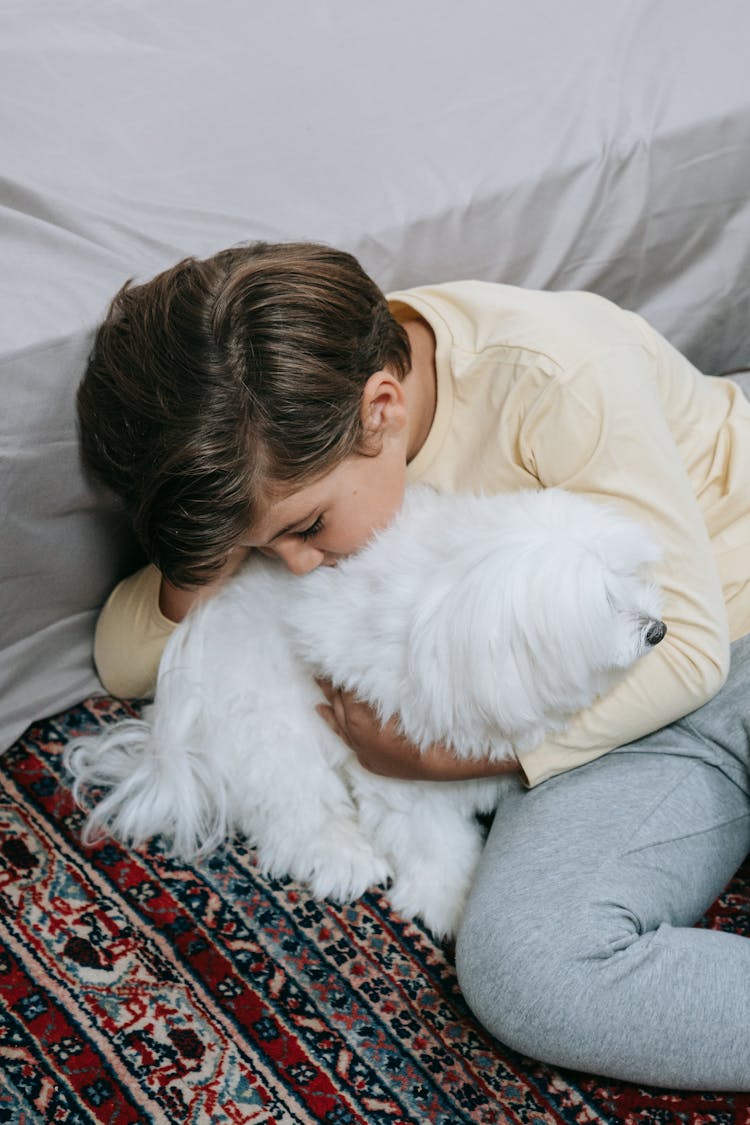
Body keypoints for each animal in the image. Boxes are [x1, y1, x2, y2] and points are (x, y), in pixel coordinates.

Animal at [64, 488, 661, 936]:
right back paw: (341, 858)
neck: (447, 609)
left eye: (630, 577)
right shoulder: (400, 768)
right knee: (294, 812)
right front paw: (450, 902)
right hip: (274, 732)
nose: (658, 630)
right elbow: (436, 845)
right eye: (605, 604)